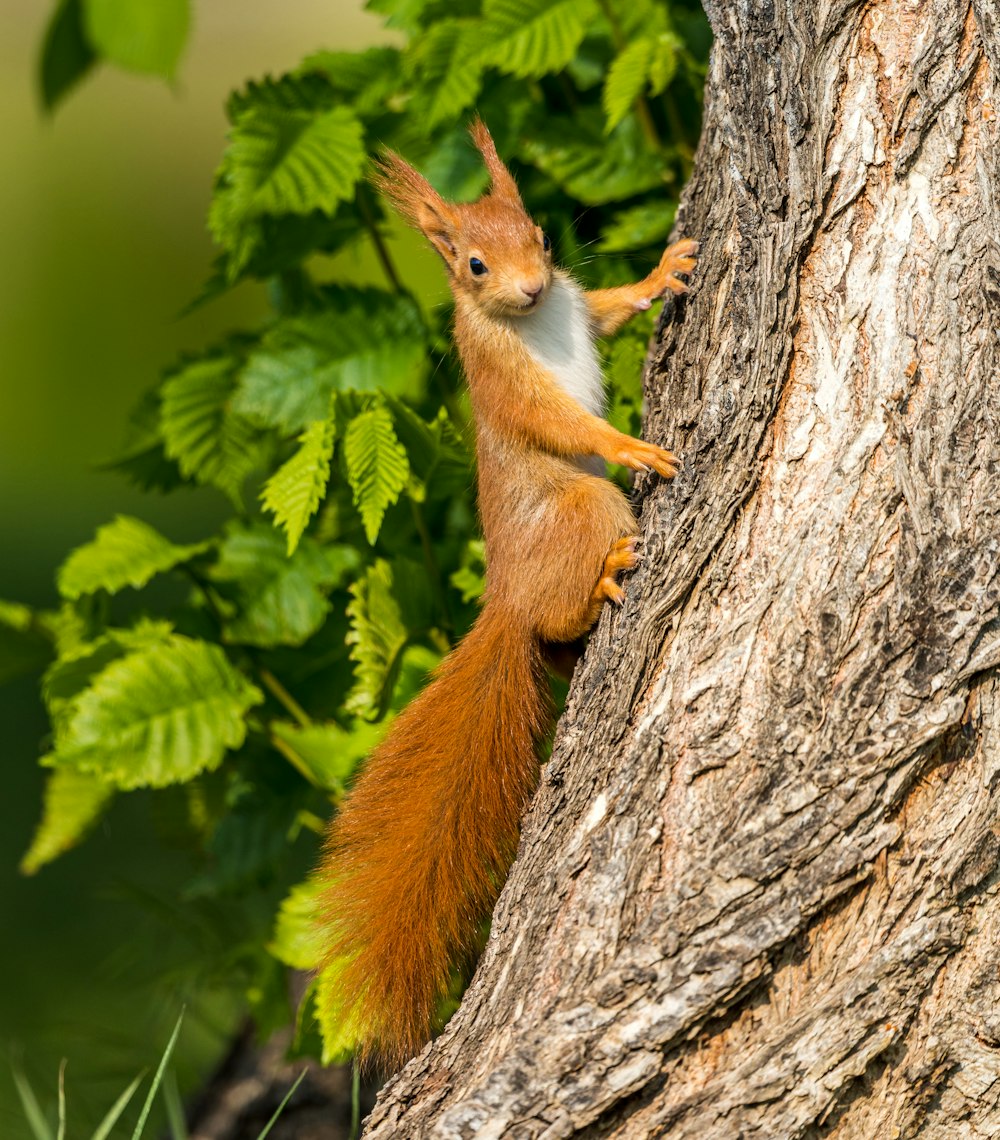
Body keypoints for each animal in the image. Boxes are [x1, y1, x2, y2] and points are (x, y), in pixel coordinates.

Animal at [319, 120, 693, 1071]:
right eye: (473, 265)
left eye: (543, 237)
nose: (530, 287)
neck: (532, 322)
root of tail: (508, 606)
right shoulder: (499, 381)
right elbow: (557, 422)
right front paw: (631, 443)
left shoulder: (579, 307)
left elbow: (609, 307)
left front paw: (661, 272)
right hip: (583, 507)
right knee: (570, 593)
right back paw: (604, 577)